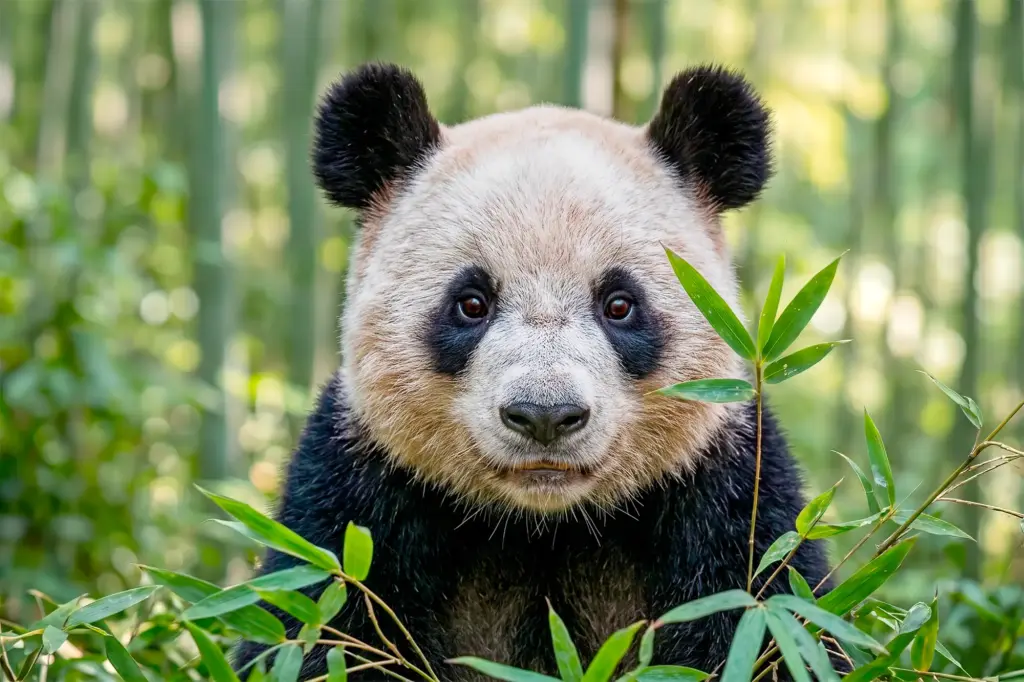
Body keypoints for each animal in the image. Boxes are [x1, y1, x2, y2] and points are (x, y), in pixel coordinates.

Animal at [233, 62, 834, 680]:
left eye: (620, 304)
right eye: (471, 303)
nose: (545, 415)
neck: (544, 524)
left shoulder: (728, 496)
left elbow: (772, 617)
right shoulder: (358, 491)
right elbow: (315, 626)